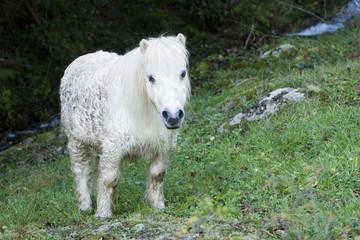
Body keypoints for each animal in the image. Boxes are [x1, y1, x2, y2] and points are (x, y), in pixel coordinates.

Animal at [59, 33, 188, 219]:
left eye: (183, 73)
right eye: (151, 77)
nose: (172, 116)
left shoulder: (163, 147)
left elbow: (157, 175)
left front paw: (157, 205)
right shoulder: (113, 150)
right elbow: (109, 179)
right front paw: (103, 213)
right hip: (77, 142)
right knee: (81, 171)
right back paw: (85, 206)